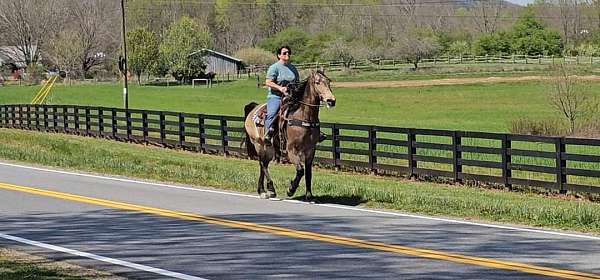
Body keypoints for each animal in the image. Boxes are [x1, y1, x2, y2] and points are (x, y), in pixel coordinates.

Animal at [245, 70, 338, 201]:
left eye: (328, 82)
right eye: (317, 82)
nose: (331, 100)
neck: (303, 117)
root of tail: (253, 109)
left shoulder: (310, 150)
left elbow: (308, 172)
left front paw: (309, 195)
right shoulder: (291, 150)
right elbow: (300, 170)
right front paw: (291, 189)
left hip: (270, 149)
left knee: (264, 164)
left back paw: (264, 190)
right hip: (259, 144)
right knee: (262, 164)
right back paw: (268, 190)